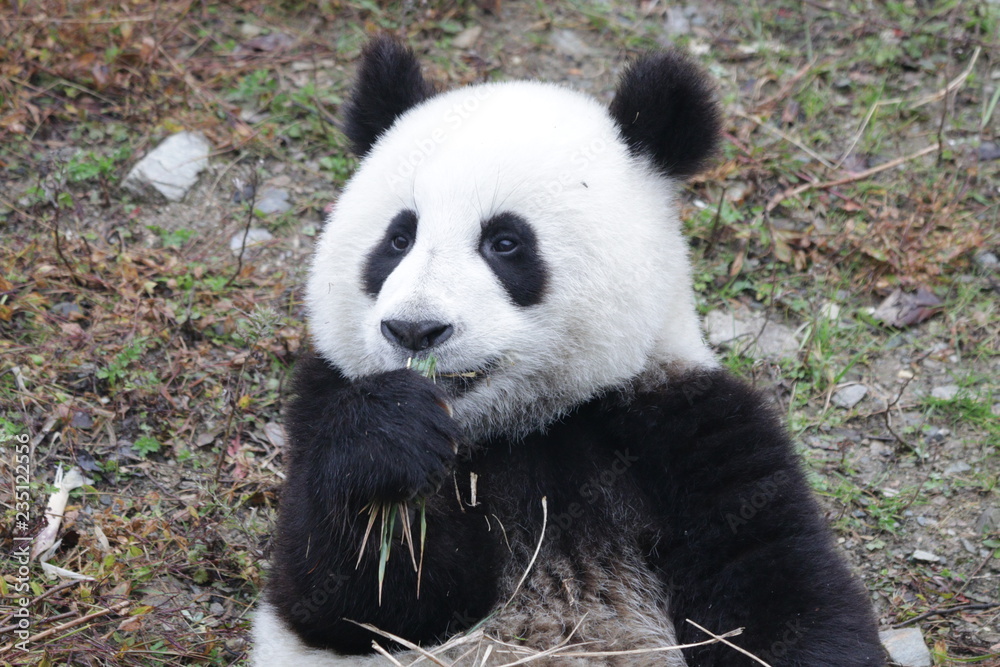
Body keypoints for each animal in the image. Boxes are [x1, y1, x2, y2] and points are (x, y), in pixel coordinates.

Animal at [252, 36, 885, 666]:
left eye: (506, 243)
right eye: (398, 239)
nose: (414, 330)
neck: (521, 425)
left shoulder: (688, 424)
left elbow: (781, 599)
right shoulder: (324, 399)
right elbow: (354, 603)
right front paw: (390, 437)